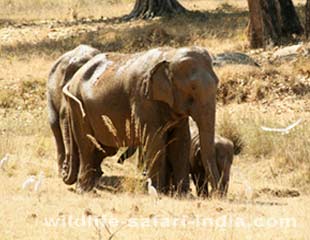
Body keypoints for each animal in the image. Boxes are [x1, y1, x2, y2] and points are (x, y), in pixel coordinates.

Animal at [61, 46, 219, 193]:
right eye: (192, 88)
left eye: (217, 84)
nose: (217, 194)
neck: (170, 54)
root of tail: (72, 80)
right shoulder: (143, 98)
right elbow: (154, 140)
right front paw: (158, 192)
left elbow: (181, 141)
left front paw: (182, 194)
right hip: (78, 108)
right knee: (86, 145)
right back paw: (84, 190)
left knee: (103, 148)